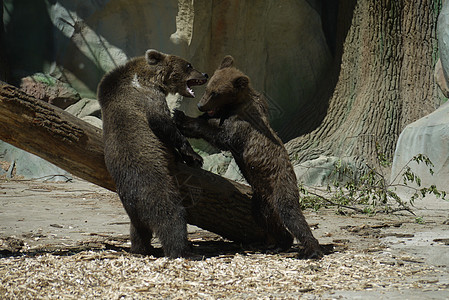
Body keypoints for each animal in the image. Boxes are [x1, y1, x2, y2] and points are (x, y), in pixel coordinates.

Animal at [97, 49, 207, 258]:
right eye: (189, 65)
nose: (205, 74)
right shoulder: (149, 98)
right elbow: (164, 125)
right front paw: (194, 156)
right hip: (156, 189)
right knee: (172, 219)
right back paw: (184, 250)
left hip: (133, 214)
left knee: (138, 231)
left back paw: (142, 248)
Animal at [174, 55, 322, 258]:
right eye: (208, 87)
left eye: (216, 93)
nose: (200, 105)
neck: (234, 106)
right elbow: (212, 123)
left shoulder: (241, 125)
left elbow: (221, 137)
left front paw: (182, 118)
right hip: (261, 199)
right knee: (265, 217)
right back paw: (278, 244)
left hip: (280, 185)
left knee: (291, 213)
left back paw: (311, 249)